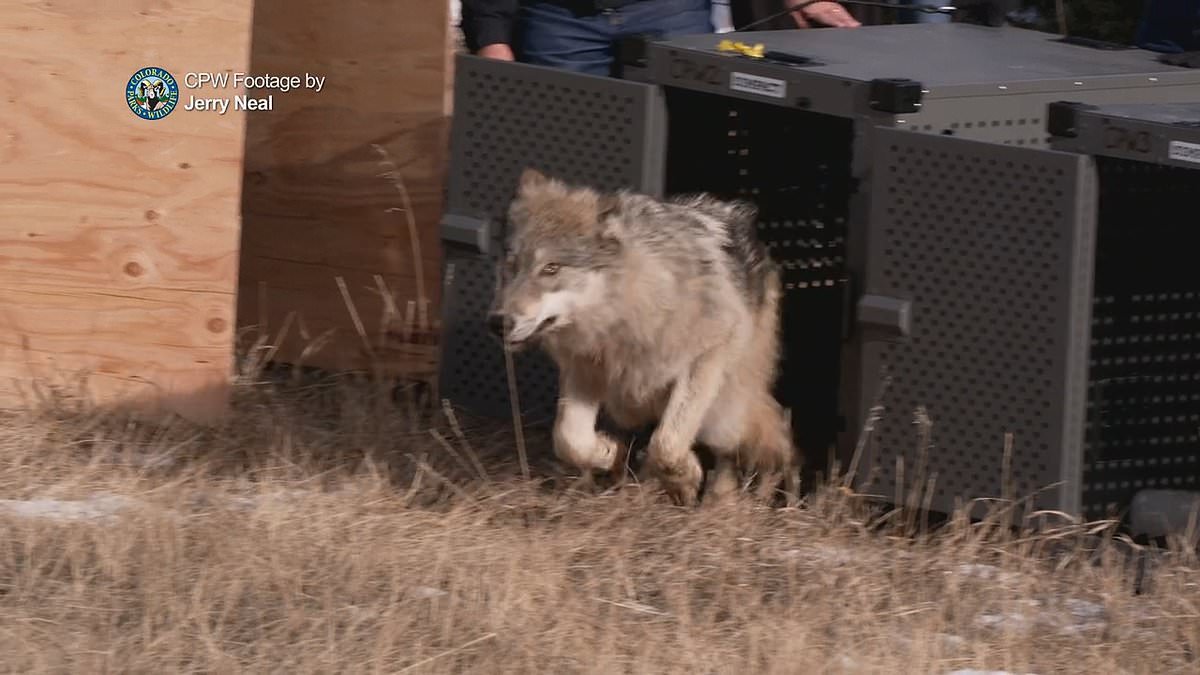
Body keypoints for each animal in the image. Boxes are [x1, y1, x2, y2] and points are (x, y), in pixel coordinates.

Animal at [482, 168, 801, 504]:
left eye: (551, 268)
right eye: (511, 266)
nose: (497, 322)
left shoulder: (704, 359)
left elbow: (667, 442)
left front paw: (685, 478)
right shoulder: (584, 370)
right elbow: (570, 440)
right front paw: (611, 452)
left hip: (724, 412)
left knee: (761, 437)